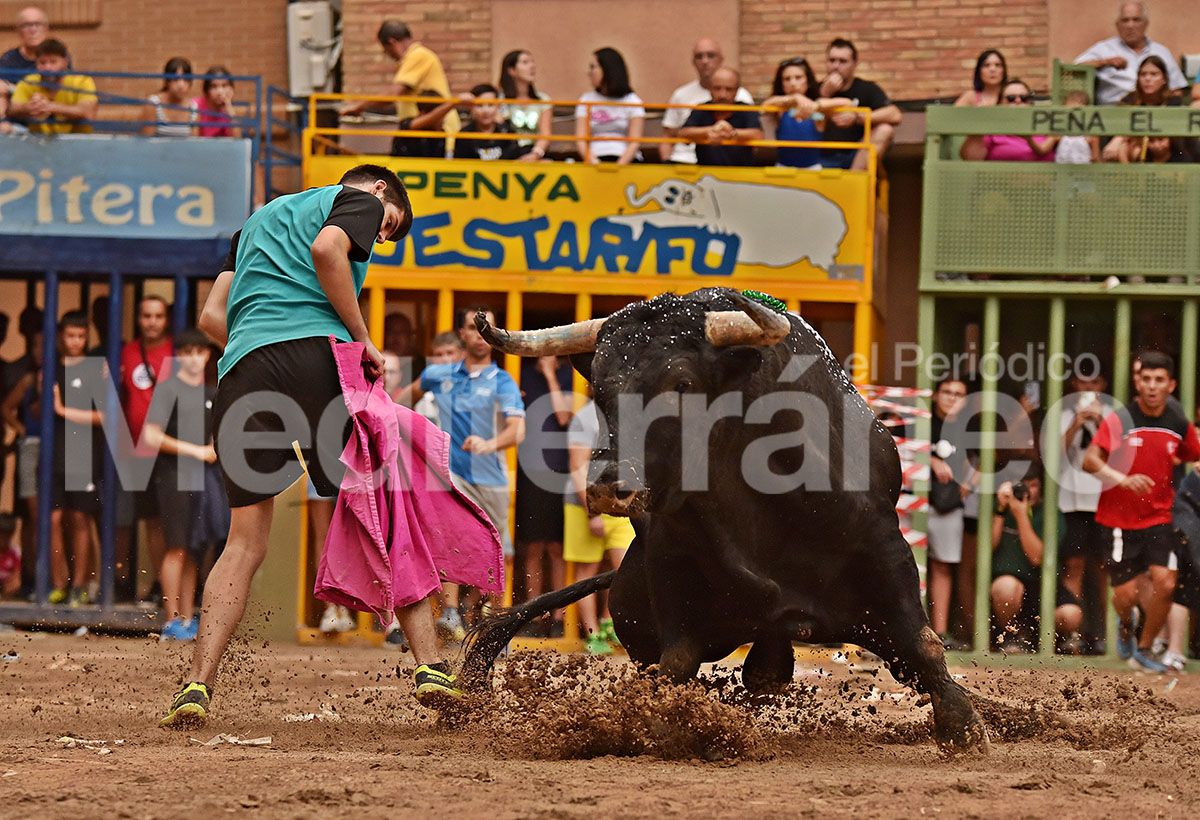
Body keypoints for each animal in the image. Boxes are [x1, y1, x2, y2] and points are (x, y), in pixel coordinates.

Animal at [458, 286, 984, 749]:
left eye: (682, 384)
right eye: (601, 391)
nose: (608, 483)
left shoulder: (883, 548)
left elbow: (923, 645)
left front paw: (967, 723)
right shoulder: (670, 567)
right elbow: (675, 665)